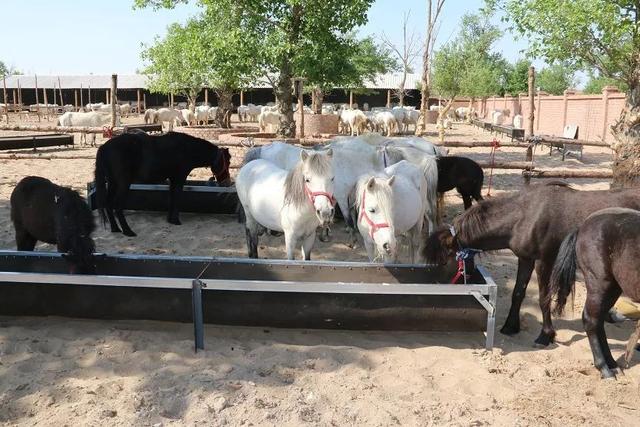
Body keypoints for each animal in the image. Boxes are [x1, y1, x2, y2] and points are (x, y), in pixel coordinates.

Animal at [96, 131, 231, 237]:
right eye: (228, 161)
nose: (227, 182)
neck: (186, 149)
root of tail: (104, 147)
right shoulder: (179, 178)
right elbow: (177, 197)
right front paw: (176, 220)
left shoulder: (172, 179)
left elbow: (171, 198)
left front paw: (170, 220)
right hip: (123, 183)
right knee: (118, 206)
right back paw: (128, 231)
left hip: (112, 183)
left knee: (108, 203)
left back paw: (115, 228)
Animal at [422, 183, 640, 348]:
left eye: (444, 261)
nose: (438, 289)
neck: (525, 216)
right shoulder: (525, 259)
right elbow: (518, 292)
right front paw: (510, 326)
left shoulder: (544, 261)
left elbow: (544, 297)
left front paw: (546, 335)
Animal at [544, 209, 640, 380]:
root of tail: (582, 226)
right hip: (600, 284)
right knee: (591, 320)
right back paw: (605, 369)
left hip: (613, 288)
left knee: (598, 321)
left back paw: (613, 365)